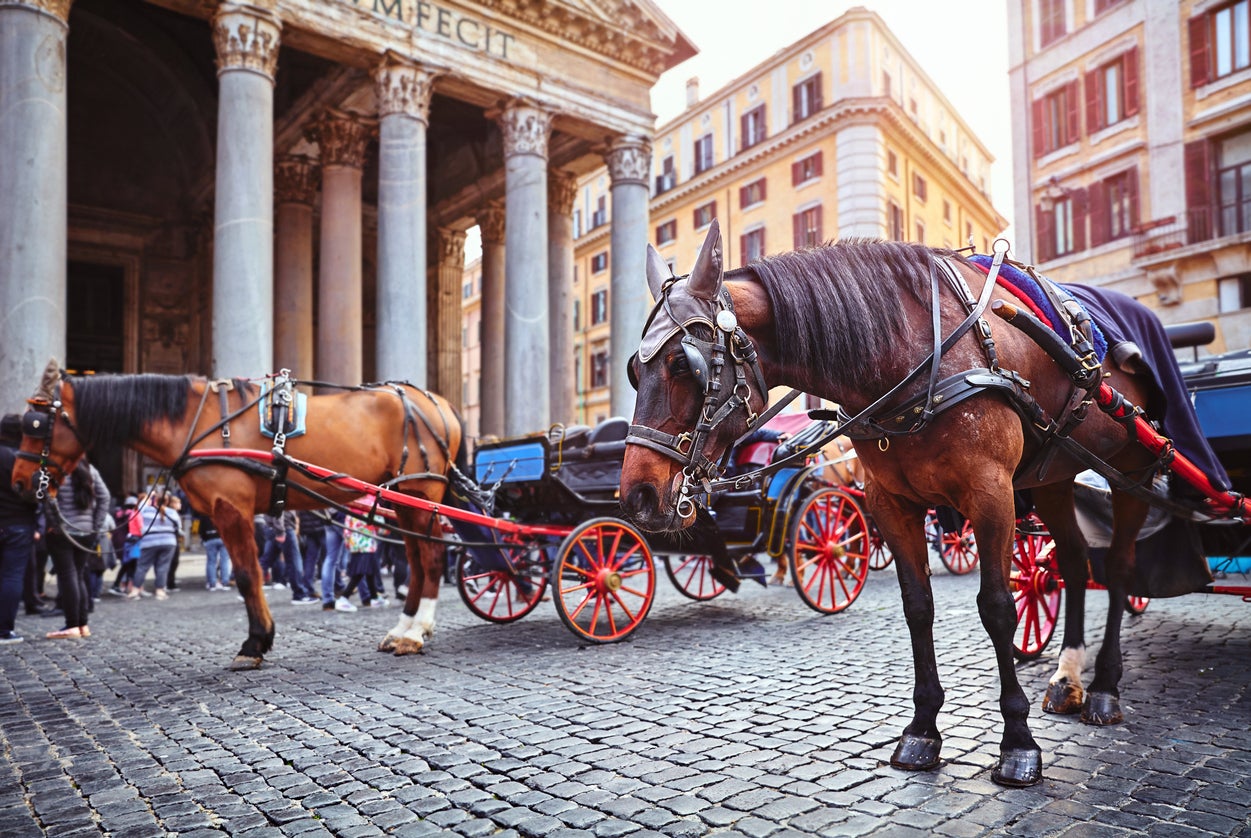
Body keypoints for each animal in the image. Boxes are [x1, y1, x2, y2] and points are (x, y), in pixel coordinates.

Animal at [10, 360, 462, 669]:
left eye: (36, 424)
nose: (18, 482)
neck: (196, 423)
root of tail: (439, 403)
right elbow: (251, 574)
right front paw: (259, 639)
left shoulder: (231, 508)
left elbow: (247, 575)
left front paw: (255, 643)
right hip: (403, 497)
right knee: (416, 560)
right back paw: (404, 629)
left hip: (420, 490)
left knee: (431, 557)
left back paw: (415, 633)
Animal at [619, 219, 1175, 787]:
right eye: (633, 372)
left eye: (682, 365)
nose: (637, 495)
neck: (915, 353)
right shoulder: (891, 504)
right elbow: (917, 606)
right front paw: (923, 729)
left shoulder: (991, 495)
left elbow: (997, 608)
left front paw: (1018, 743)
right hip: (1053, 477)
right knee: (1075, 562)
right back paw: (1068, 678)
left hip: (1132, 472)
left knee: (1121, 567)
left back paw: (1104, 687)